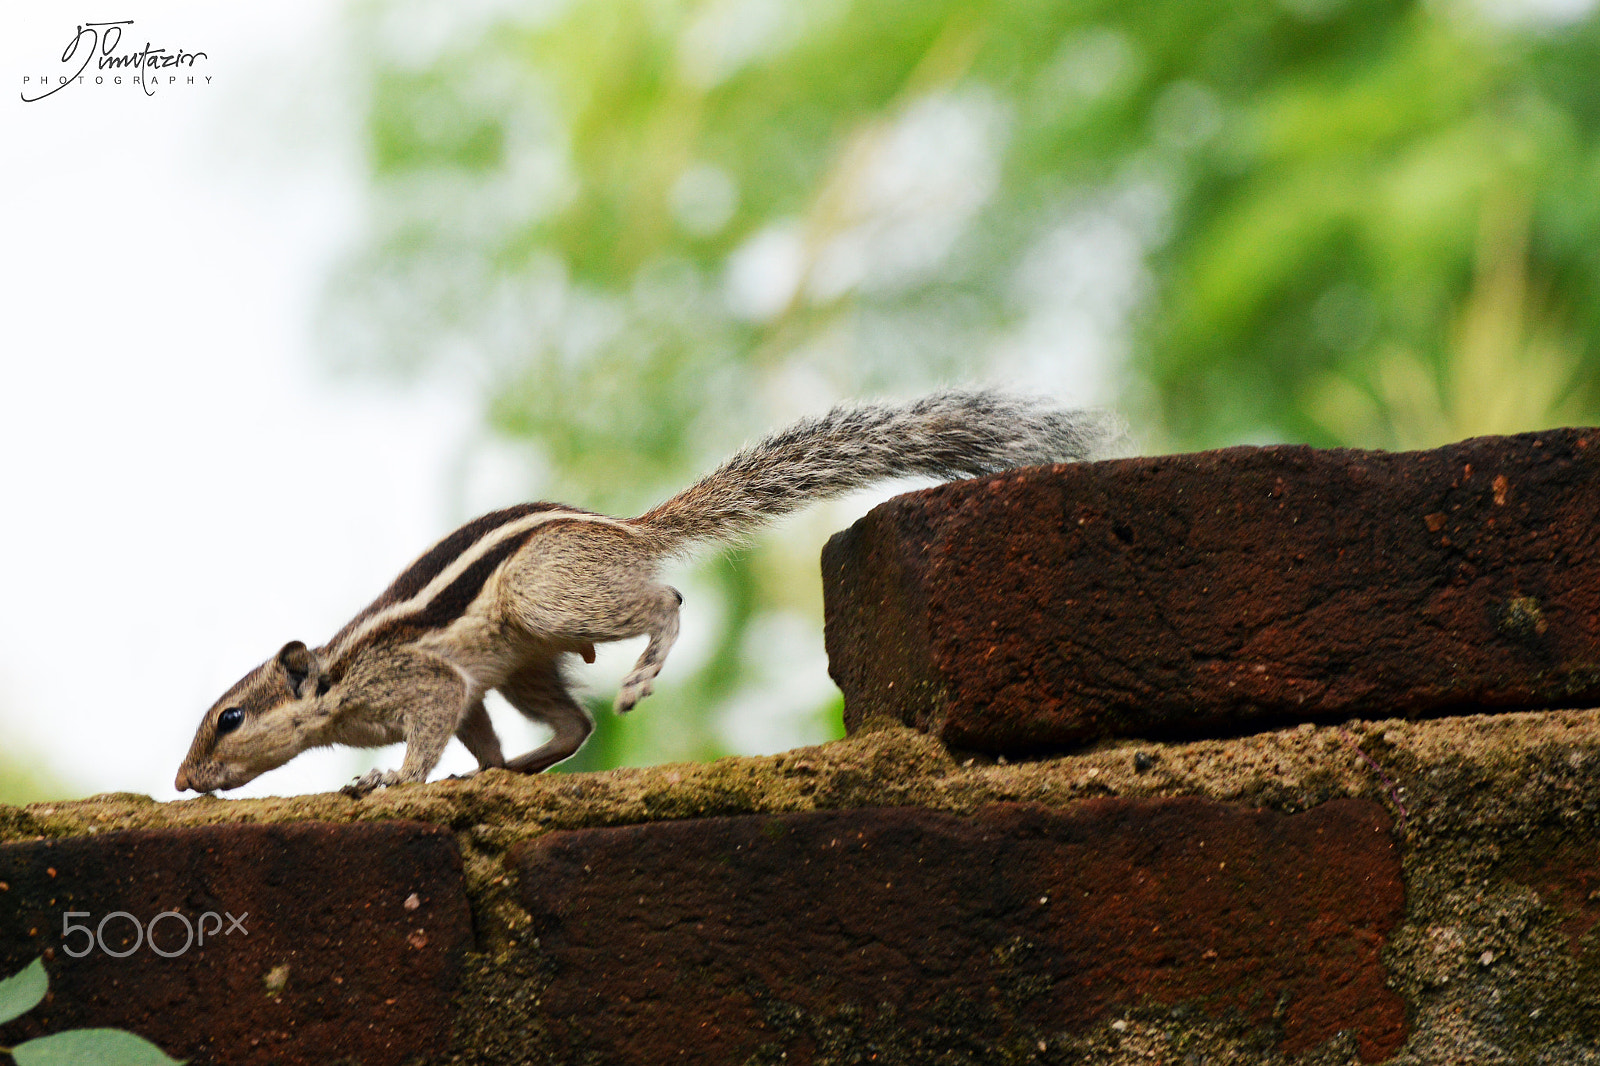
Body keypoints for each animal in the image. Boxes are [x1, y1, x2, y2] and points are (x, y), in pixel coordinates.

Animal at [175, 385, 1120, 793]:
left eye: (230, 718)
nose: (185, 781)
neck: (334, 684)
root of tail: (628, 531)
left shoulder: (420, 681)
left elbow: (429, 728)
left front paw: (393, 779)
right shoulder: (466, 689)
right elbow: (472, 729)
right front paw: (478, 768)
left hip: (549, 600)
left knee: (664, 606)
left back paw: (641, 670)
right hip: (529, 660)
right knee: (571, 724)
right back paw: (522, 766)